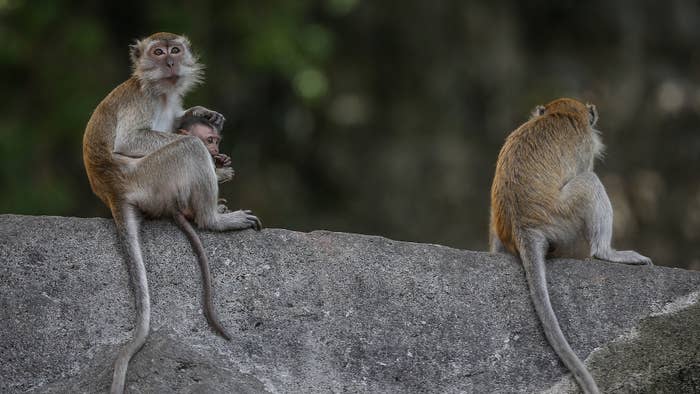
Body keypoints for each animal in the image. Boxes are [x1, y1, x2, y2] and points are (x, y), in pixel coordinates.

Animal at [82, 31, 262, 394]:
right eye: (158, 52)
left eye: (175, 50)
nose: (169, 62)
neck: (161, 92)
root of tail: (112, 190)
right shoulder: (143, 100)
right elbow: (131, 140)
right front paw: (214, 161)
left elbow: (179, 118)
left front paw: (201, 113)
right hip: (148, 178)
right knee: (186, 149)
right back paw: (214, 218)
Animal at [490, 97, 652, 394]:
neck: (558, 114)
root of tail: (523, 226)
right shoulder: (585, 146)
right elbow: (586, 172)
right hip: (563, 218)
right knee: (589, 182)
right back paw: (606, 253)